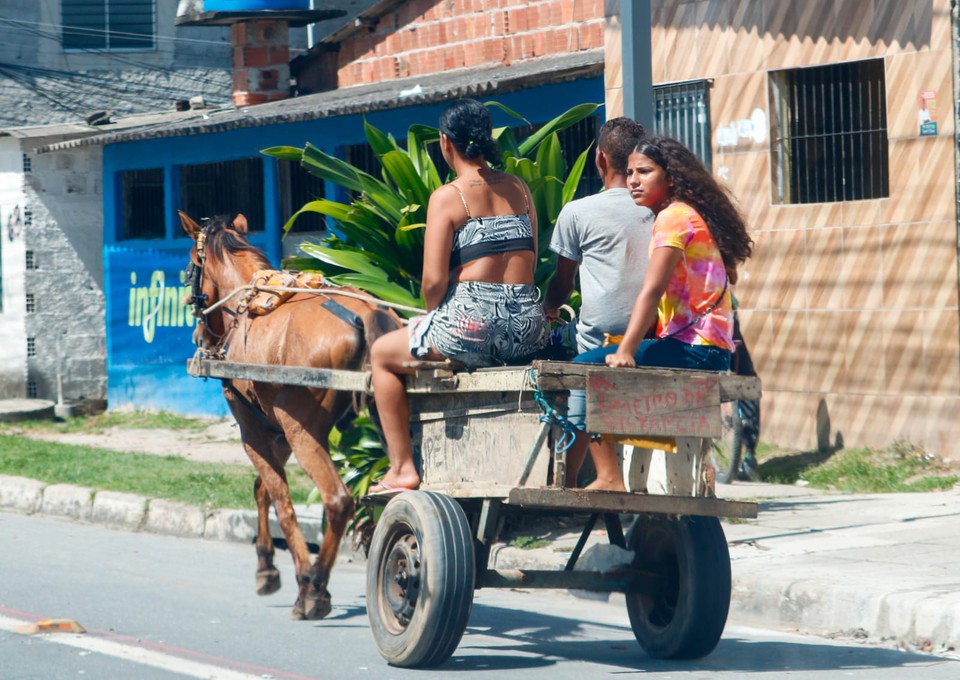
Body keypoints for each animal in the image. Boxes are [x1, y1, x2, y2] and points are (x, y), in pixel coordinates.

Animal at [181, 212, 402, 620]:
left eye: (190, 270)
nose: (201, 337)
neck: (248, 302)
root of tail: (367, 313)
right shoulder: (275, 430)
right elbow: (262, 489)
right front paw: (266, 567)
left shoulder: (254, 427)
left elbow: (281, 500)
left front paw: (299, 577)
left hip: (302, 430)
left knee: (338, 501)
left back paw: (314, 590)